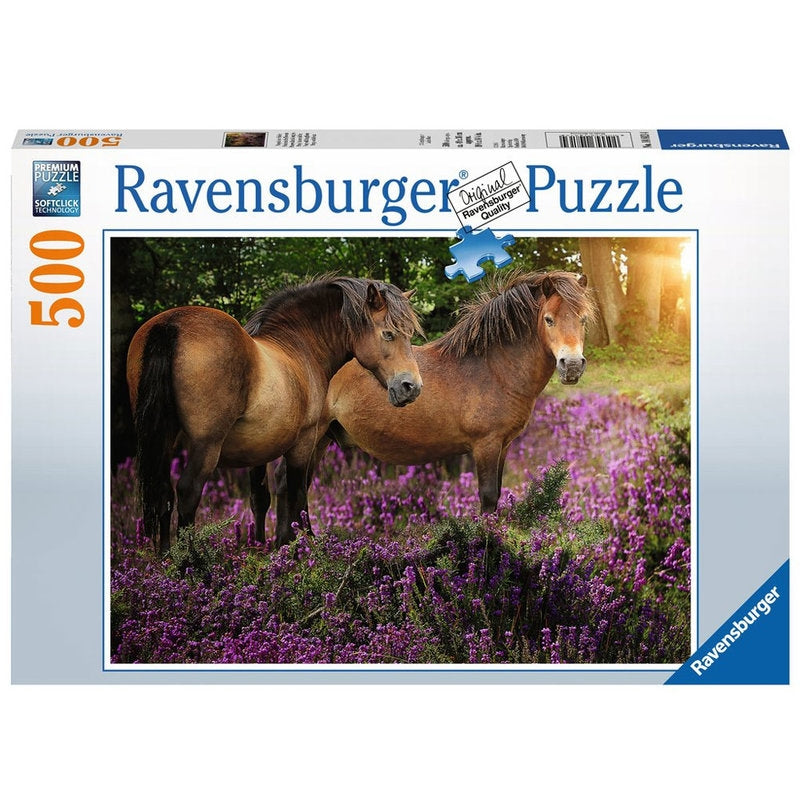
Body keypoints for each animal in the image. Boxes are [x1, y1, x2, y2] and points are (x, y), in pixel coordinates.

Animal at [126, 275, 423, 555]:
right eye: (388, 334)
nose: (411, 387)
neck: (299, 346)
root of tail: (171, 325)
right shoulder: (304, 442)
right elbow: (297, 493)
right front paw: (301, 544)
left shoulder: (257, 450)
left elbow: (261, 498)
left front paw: (260, 547)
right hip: (206, 445)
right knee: (188, 492)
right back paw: (190, 561)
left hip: (163, 439)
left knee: (163, 493)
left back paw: (167, 558)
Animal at [264, 270, 596, 532]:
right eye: (549, 319)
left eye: (582, 319)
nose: (572, 365)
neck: (493, 368)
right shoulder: (486, 445)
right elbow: (488, 496)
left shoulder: (502, 445)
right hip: (312, 436)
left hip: (320, 439)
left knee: (290, 485)